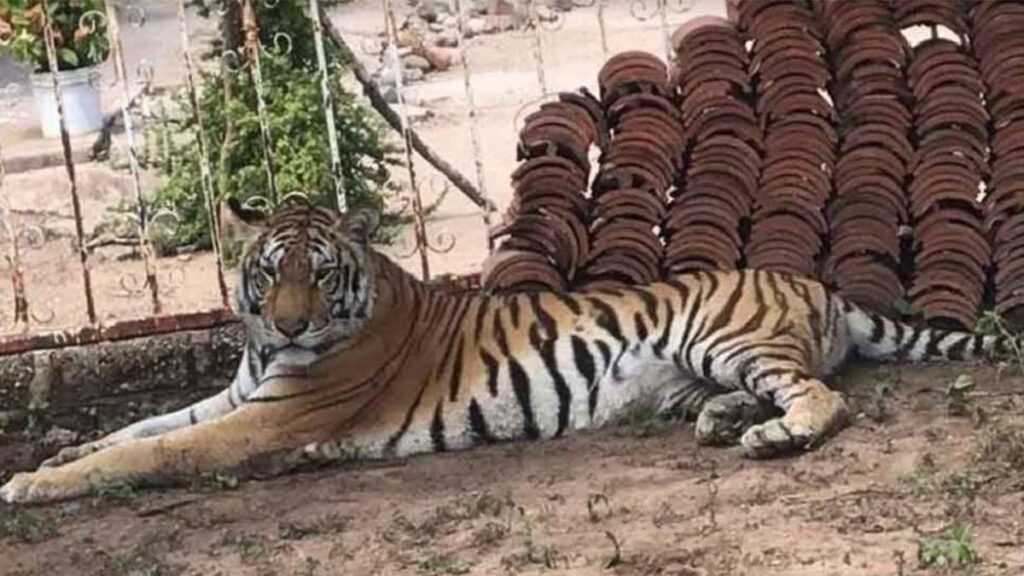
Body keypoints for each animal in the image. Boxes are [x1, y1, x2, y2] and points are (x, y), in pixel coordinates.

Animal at [1, 198, 1015, 505]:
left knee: (823, 399)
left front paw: (31, 488)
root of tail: (821, 285)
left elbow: (153, 450)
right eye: (267, 271)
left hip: (723, 334)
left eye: (317, 275)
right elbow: (136, 427)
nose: (286, 326)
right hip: (696, 370)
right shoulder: (233, 396)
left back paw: (771, 438)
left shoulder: (265, 421)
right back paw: (726, 424)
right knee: (766, 392)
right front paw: (46, 460)